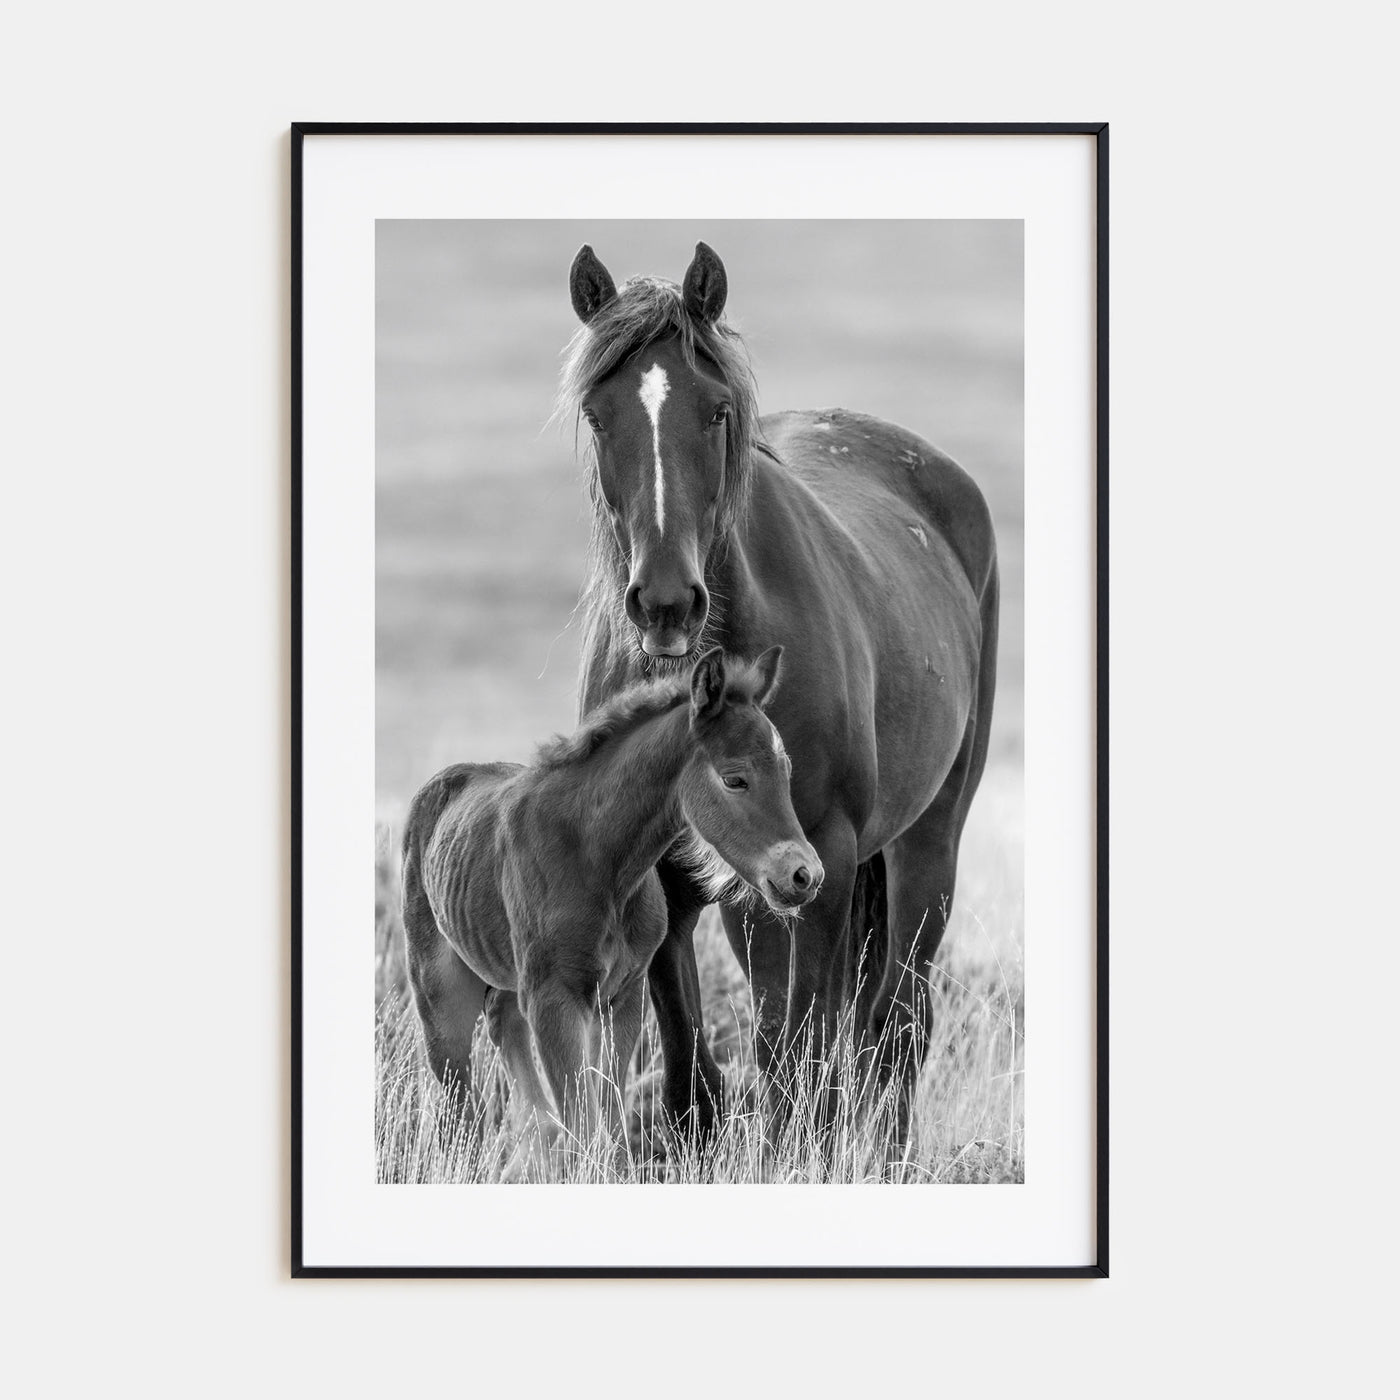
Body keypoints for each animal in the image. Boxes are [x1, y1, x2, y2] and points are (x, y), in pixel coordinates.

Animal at [399, 645, 821, 1163]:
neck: (600, 862)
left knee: (506, 1032)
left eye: (785, 773)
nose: (804, 875)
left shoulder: (623, 995)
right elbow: (584, 1126)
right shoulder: (554, 998)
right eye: (735, 779)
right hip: (437, 989)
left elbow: (611, 1126)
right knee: (458, 1095)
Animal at [561, 241, 999, 1137]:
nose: (666, 603)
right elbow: (694, 1069)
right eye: (597, 413)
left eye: (717, 410)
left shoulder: (816, 858)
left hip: (923, 845)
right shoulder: (669, 881)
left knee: (896, 1022)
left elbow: (800, 1055)